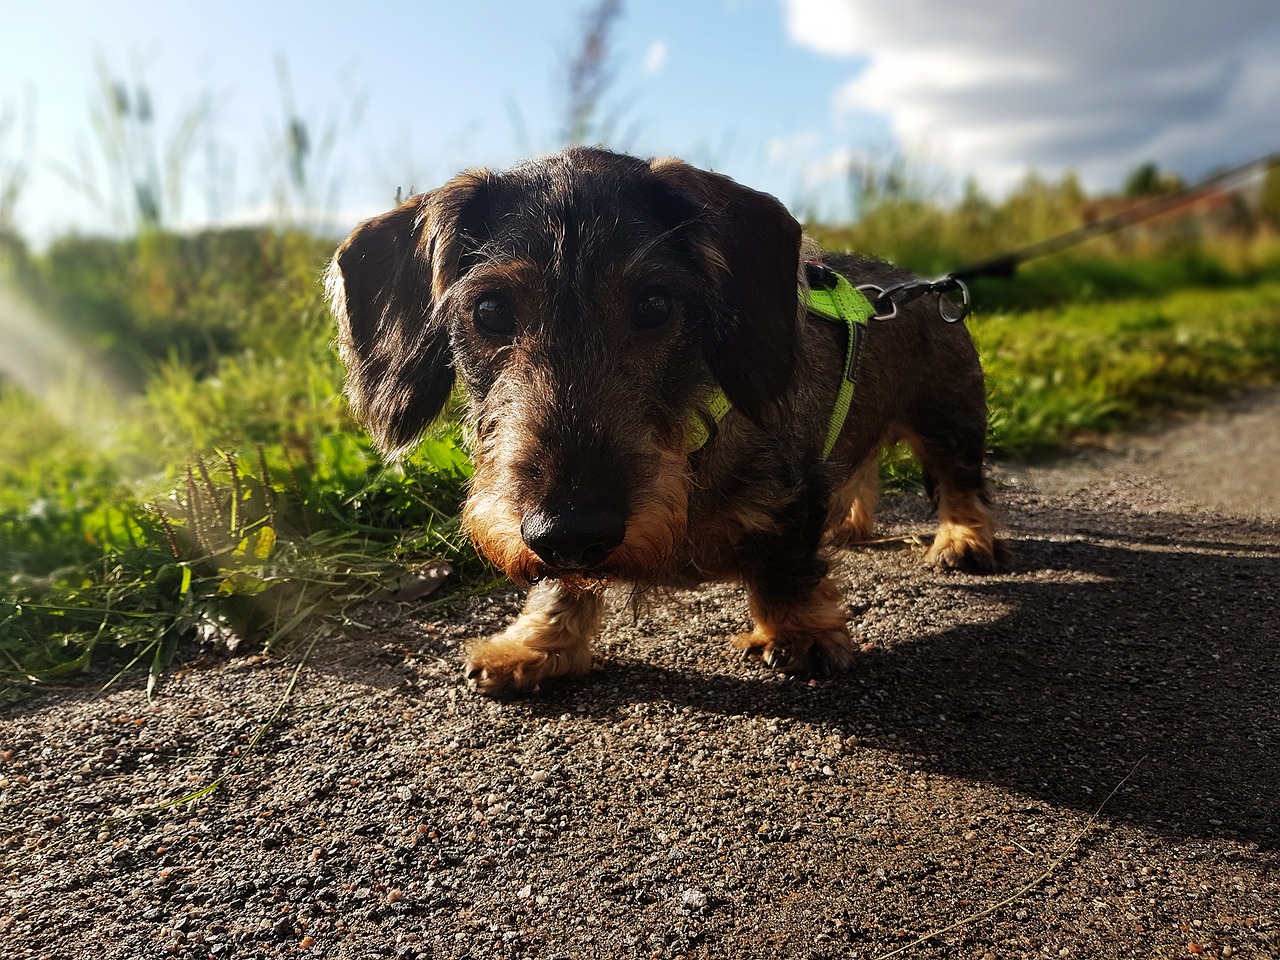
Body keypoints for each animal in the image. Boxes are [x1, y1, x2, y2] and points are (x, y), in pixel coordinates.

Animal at [322, 146, 998, 696]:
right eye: (489, 310)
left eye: (654, 304)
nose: (570, 530)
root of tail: (917, 286)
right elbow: (559, 584)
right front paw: (536, 645)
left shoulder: (792, 494)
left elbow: (786, 563)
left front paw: (799, 631)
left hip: (949, 414)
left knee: (961, 479)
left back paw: (961, 539)